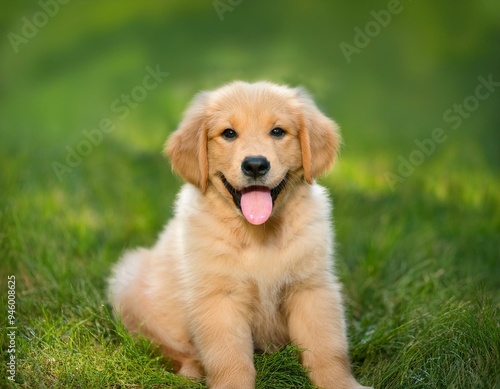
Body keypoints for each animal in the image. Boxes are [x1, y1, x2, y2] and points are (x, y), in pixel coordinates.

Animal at [107, 80, 370, 386]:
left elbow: (327, 348)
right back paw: (191, 370)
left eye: (277, 131)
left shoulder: (311, 287)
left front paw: (341, 383)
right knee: (168, 349)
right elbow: (229, 358)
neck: (259, 234)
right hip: (129, 282)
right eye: (228, 133)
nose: (255, 165)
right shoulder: (219, 298)